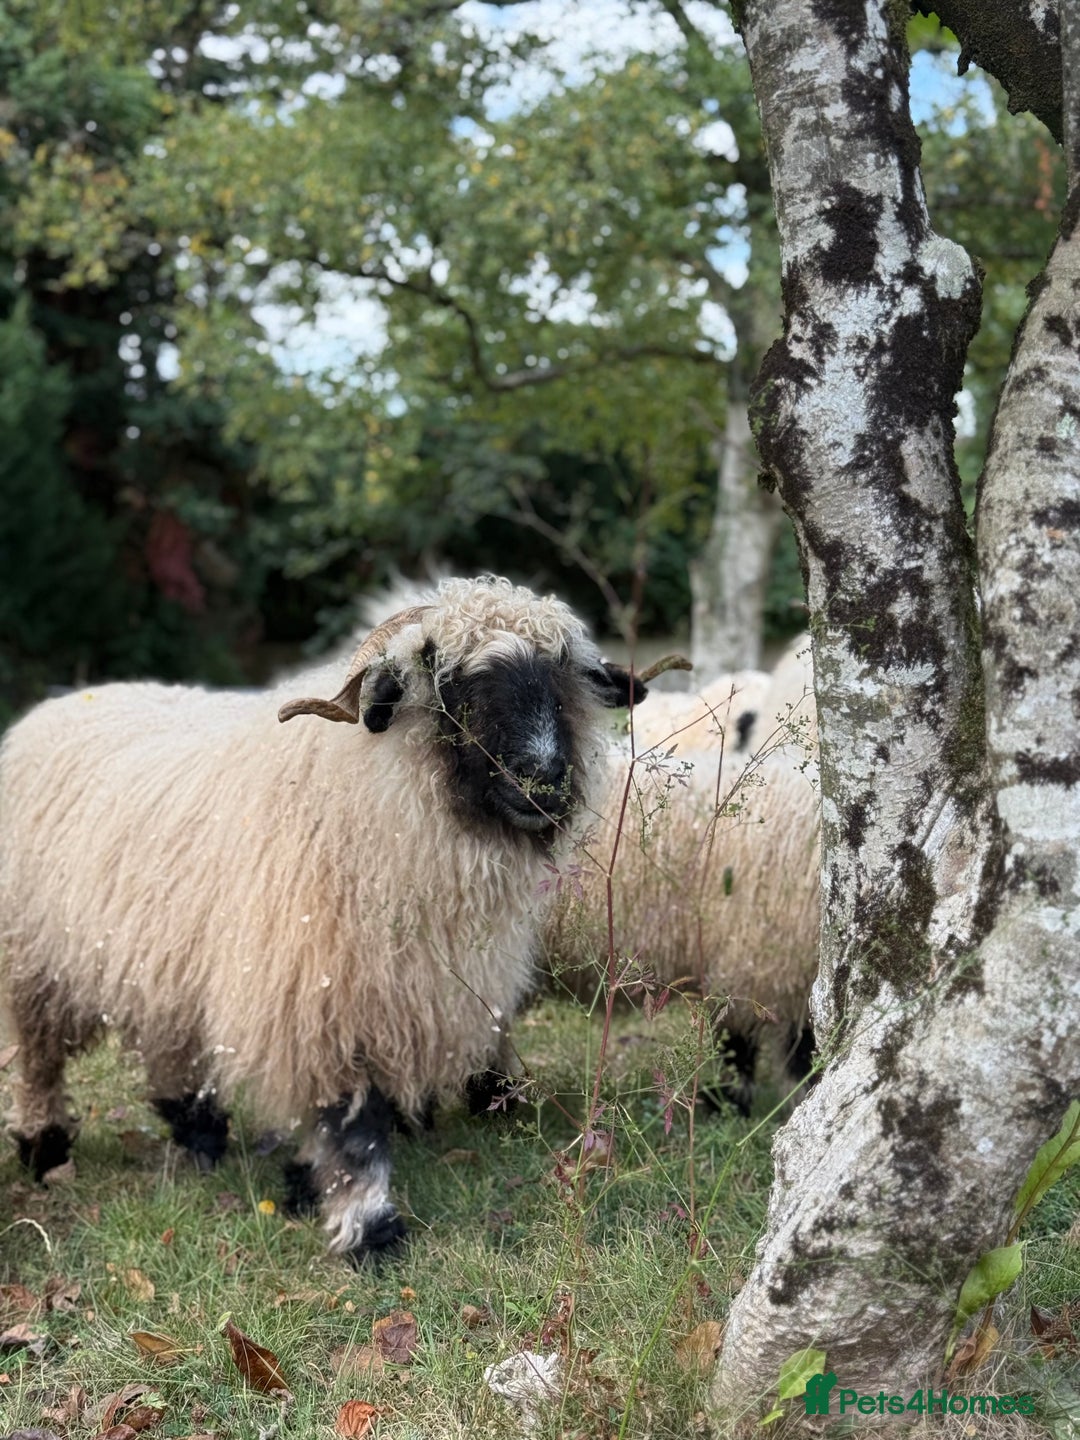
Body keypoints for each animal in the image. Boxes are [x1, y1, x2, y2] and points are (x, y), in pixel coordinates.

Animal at [0, 575, 650, 1261]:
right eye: (448, 682)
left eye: (562, 679)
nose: (544, 782)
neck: (362, 796)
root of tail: (55, 706)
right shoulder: (318, 999)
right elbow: (350, 1127)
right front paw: (368, 1227)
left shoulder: (408, 992)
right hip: (34, 960)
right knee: (39, 1059)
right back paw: (45, 1149)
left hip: (163, 955)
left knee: (167, 1040)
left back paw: (198, 1133)